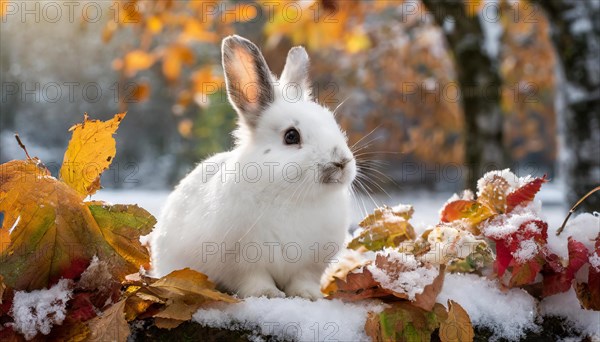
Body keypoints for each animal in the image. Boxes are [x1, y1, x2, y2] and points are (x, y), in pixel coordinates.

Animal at [151, 35, 356, 300]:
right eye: (291, 136)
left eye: (333, 124)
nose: (341, 162)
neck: (291, 195)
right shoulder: (244, 263)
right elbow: (255, 280)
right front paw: (268, 294)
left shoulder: (309, 265)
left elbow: (303, 280)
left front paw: (310, 296)